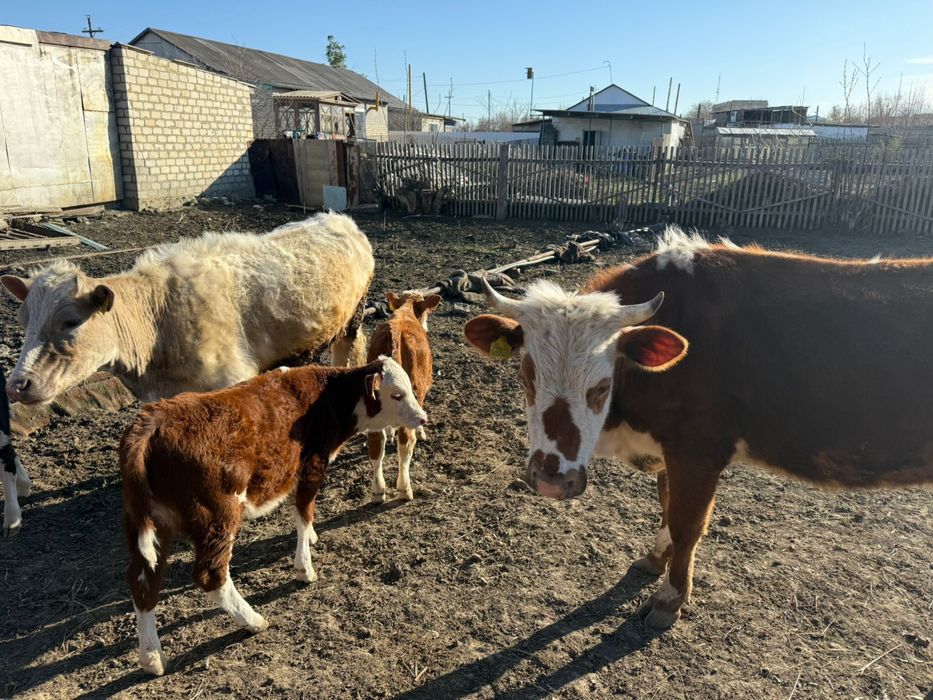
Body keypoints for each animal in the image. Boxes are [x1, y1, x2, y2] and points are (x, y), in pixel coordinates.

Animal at [1, 212, 374, 406]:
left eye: (71, 322)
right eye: (22, 320)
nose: (16, 385)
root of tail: (337, 218)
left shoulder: (233, 377)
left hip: (353, 320)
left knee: (351, 351)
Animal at [121, 357, 427, 676]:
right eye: (397, 394)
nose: (423, 418)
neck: (325, 398)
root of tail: (150, 424)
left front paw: (312, 539)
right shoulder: (311, 466)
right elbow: (304, 512)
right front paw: (304, 567)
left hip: (153, 524)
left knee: (143, 581)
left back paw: (152, 658)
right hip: (218, 517)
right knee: (211, 575)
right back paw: (253, 620)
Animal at [365, 291, 441, 502]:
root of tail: (394, 331)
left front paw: (390, 431)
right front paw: (422, 433)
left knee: (376, 443)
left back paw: (377, 491)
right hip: (414, 390)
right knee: (406, 440)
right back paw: (404, 489)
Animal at [464, 228, 933, 631]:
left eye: (601, 385)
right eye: (527, 376)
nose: (551, 480)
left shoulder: (699, 452)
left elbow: (687, 523)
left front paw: (669, 599)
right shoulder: (670, 450)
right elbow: (667, 507)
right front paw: (655, 559)